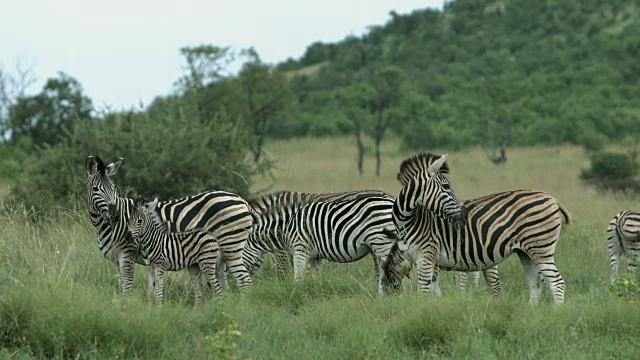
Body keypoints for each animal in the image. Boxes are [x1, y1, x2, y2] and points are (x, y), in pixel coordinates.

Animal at [85, 156, 255, 294]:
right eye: (95, 189)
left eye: (114, 188)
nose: (114, 214)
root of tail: (242, 200)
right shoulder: (116, 258)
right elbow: (122, 285)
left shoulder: (128, 253)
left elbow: (127, 287)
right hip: (219, 254)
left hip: (230, 246)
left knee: (244, 281)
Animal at [390, 152, 568, 304]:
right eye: (446, 187)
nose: (464, 213)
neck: (408, 221)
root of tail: (551, 197)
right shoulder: (424, 260)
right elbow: (435, 291)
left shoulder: (426, 255)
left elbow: (424, 291)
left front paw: (424, 310)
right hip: (526, 252)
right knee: (536, 285)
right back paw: (530, 314)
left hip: (541, 248)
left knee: (557, 282)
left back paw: (556, 314)